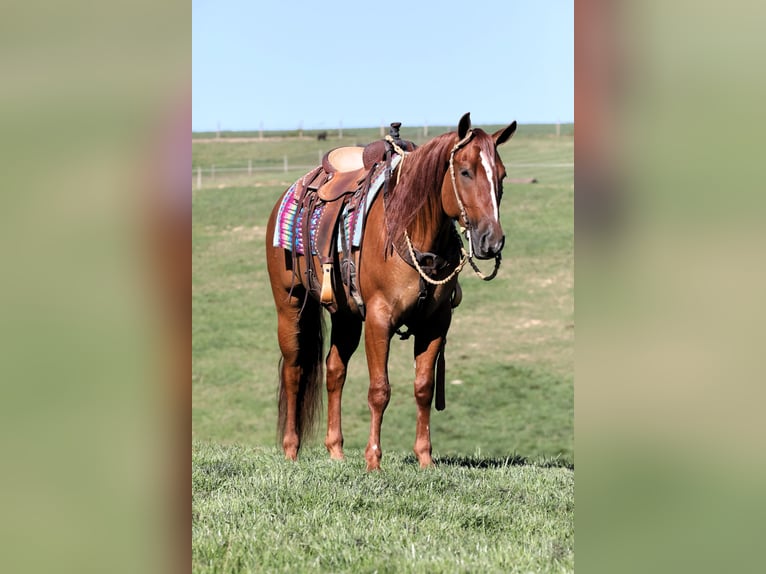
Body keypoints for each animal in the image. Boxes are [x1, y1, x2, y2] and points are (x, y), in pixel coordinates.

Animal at [268, 113, 520, 472]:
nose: (491, 240)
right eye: (465, 171)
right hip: (289, 305)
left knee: (334, 371)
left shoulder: (435, 324)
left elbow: (424, 387)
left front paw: (425, 458)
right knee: (294, 369)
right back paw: (291, 449)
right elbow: (379, 390)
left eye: (502, 174)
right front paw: (373, 459)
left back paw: (336, 451)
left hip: (346, 317)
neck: (411, 230)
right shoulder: (378, 320)